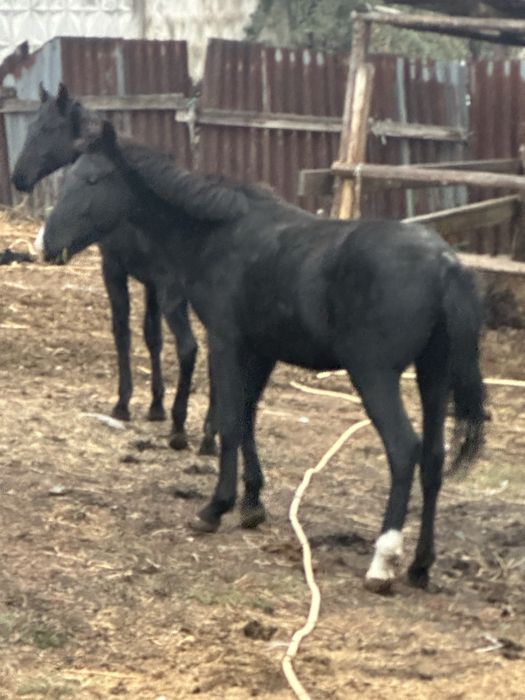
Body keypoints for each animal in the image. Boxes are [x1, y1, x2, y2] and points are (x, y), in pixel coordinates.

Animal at [12, 83, 216, 453]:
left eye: (46, 129)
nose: (18, 177)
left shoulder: (117, 271)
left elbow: (123, 332)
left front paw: (124, 403)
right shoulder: (150, 285)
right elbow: (152, 338)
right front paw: (155, 405)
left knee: (190, 347)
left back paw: (185, 429)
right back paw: (210, 432)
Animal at [42, 121, 486, 593]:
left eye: (92, 179)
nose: (47, 244)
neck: (219, 232)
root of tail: (446, 264)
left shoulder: (225, 341)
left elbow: (230, 421)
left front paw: (215, 508)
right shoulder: (261, 350)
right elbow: (249, 418)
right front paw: (252, 503)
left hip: (375, 376)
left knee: (404, 450)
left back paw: (382, 562)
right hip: (433, 377)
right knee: (434, 458)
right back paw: (421, 565)